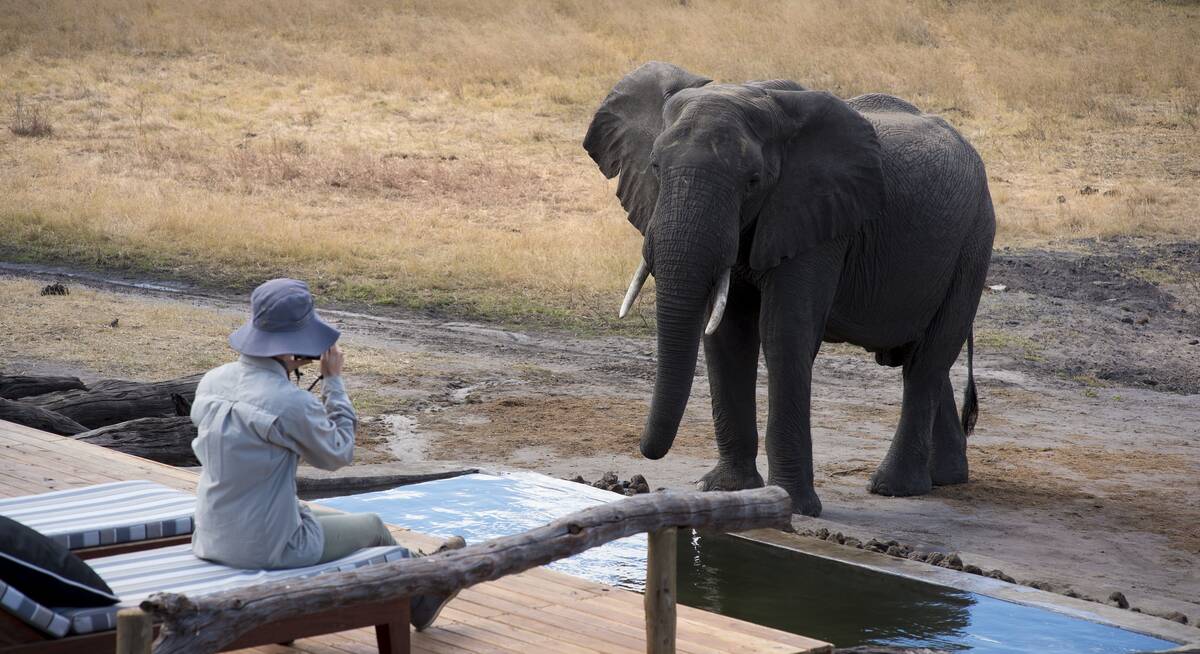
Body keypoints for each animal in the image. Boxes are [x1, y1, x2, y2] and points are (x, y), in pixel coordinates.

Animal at [580, 63, 993, 518]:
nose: (639, 465)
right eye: (654, 166)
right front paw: (724, 489)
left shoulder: (818, 219)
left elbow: (784, 333)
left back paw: (894, 487)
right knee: (920, 359)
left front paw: (793, 504)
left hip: (973, 244)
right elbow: (727, 335)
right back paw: (948, 477)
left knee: (926, 362)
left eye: (753, 181)